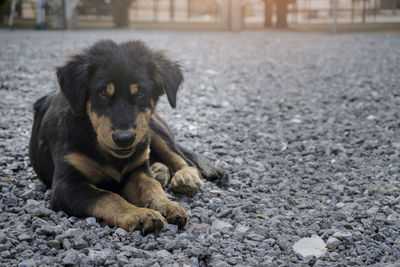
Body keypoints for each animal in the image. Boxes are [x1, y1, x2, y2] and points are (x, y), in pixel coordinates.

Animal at [28, 39, 227, 234]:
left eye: (140, 92)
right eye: (101, 92)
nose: (125, 138)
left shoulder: (136, 169)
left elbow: (150, 186)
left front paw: (166, 204)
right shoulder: (67, 185)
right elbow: (108, 196)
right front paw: (139, 214)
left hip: (152, 129)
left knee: (182, 158)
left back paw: (185, 177)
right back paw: (160, 171)